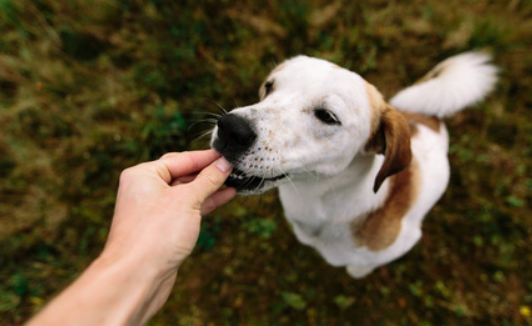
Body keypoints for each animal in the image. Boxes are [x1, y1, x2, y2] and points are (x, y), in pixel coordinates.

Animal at [210, 51, 496, 278]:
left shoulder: (405, 240)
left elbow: (360, 267)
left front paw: (358, 270)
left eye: (327, 116)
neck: (318, 203)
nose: (230, 129)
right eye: (269, 86)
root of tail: (426, 115)